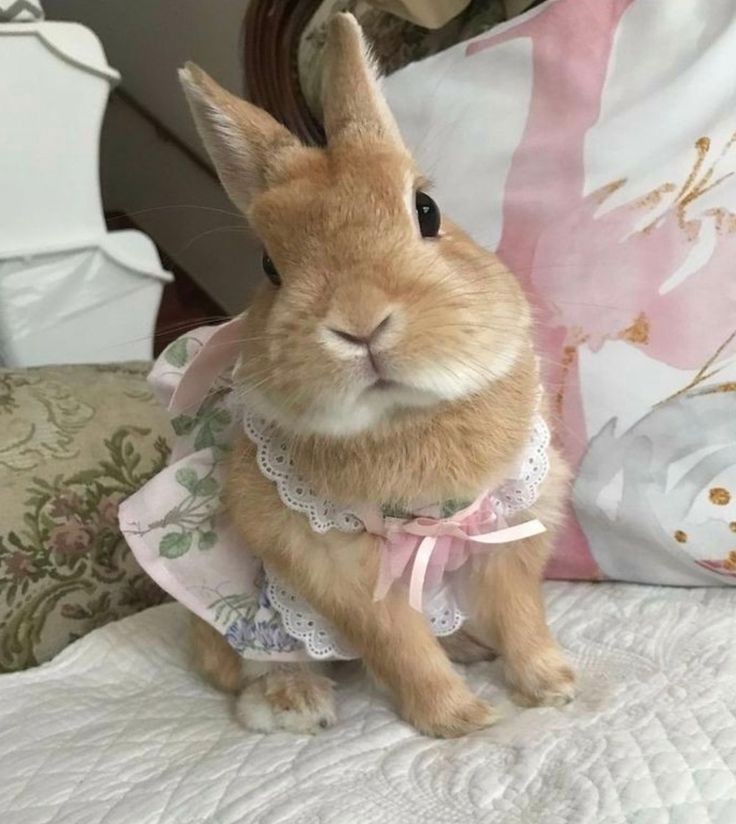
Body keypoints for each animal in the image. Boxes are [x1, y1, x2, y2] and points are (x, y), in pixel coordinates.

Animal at [180, 12, 576, 736]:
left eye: (426, 211)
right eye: (269, 266)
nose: (361, 323)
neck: (405, 416)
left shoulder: (506, 528)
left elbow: (521, 615)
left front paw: (552, 685)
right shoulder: (338, 572)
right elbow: (401, 647)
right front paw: (463, 719)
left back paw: (468, 643)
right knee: (253, 667)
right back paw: (297, 704)